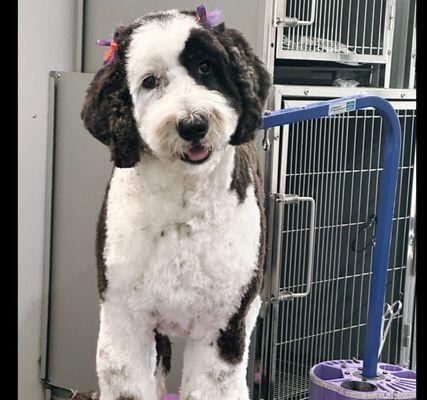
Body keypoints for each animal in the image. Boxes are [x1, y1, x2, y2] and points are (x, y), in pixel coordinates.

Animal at [81, 7, 270, 400]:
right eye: (150, 81)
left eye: (206, 66)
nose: (193, 124)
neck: (183, 201)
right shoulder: (126, 317)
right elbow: (127, 380)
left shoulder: (223, 324)